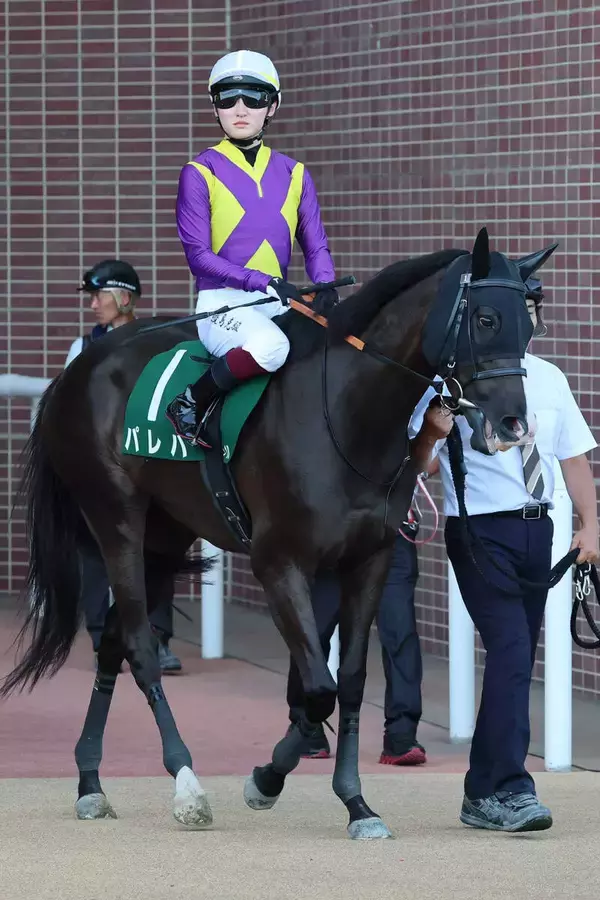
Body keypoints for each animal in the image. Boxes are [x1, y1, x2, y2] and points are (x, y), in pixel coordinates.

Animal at [2, 228, 555, 839]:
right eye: (485, 318)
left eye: (529, 325)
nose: (514, 424)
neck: (345, 415)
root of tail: (75, 371)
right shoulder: (278, 562)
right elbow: (317, 689)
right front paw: (266, 780)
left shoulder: (370, 560)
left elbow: (352, 681)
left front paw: (357, 804)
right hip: (115, 517)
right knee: (141, 650)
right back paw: (186, 784)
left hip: (163, 536)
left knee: (112, 647)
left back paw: (90, 783)